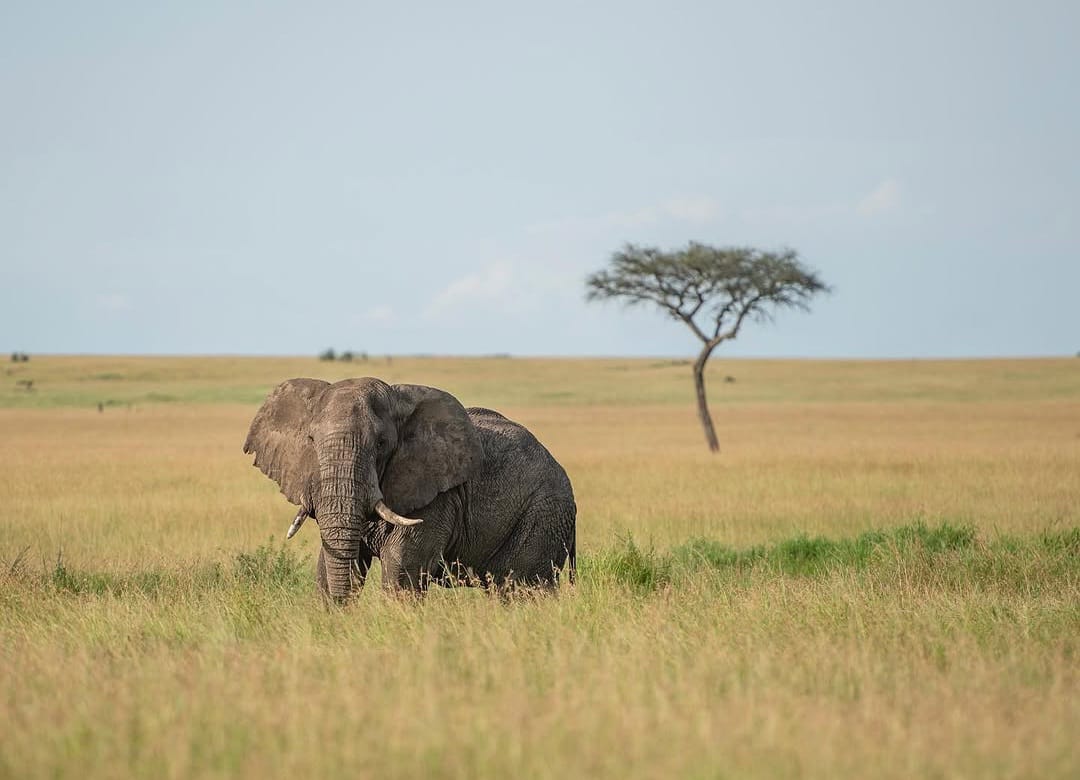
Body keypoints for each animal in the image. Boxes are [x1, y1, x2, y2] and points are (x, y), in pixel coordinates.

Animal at [243, 377, 577, 601]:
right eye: (311, 441)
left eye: (381, 444)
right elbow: (333, 562)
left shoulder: (438, 495)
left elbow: (401, 565)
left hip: (543, 515)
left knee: (523, 589)